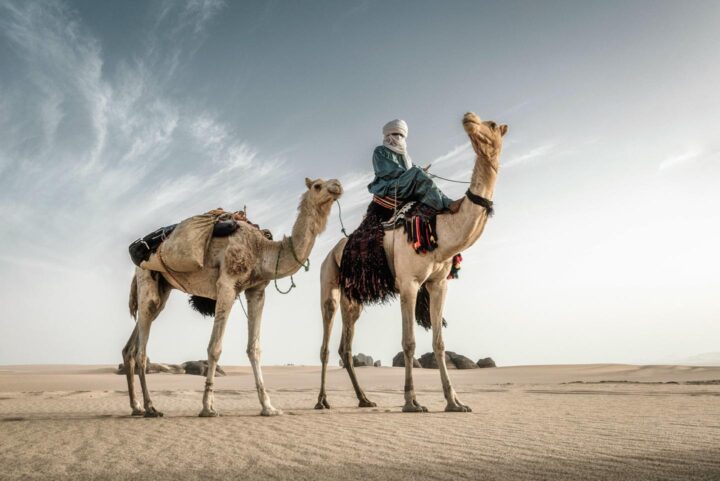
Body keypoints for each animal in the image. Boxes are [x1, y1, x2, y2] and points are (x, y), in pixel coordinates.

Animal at [123, 176, 344, 416]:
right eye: (317, 186)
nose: (337, 185)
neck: (262, 250)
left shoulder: (256, 290)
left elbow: (254, 348)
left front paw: (268, 407)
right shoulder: (227, 284)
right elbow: (215, 348)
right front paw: (208, 407)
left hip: (163, 289)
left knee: (131, 346)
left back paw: (136, 406)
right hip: (146, 279)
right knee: (141, 348)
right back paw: (150, 407)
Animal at [316, 110, 506, 410]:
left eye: (491, 124)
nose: (468, 117)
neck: (442, 228)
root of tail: (332, 251)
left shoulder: (438, 283)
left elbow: (439, 343)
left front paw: (454, 402)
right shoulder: (409, 282)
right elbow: (409, 342)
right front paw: (411, 402)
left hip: (353, 296)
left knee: (345, 348)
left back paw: (364, 399)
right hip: (328, 280)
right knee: (326, 341)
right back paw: (322, 400)